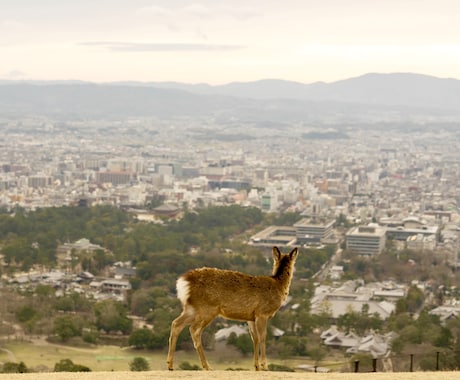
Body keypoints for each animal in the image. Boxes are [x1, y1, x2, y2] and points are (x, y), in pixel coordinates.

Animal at [165, 246, 298, 372]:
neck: (278, 286)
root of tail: (183, 282)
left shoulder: (251, 317)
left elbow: (254, 339)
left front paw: (257, 367)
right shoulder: (262, 313)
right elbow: (262, 337)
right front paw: (265, 366)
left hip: (191, 309)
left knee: (176, 323)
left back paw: (170, 365)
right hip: (207, 309)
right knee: (194, 330)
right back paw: (207, 366)